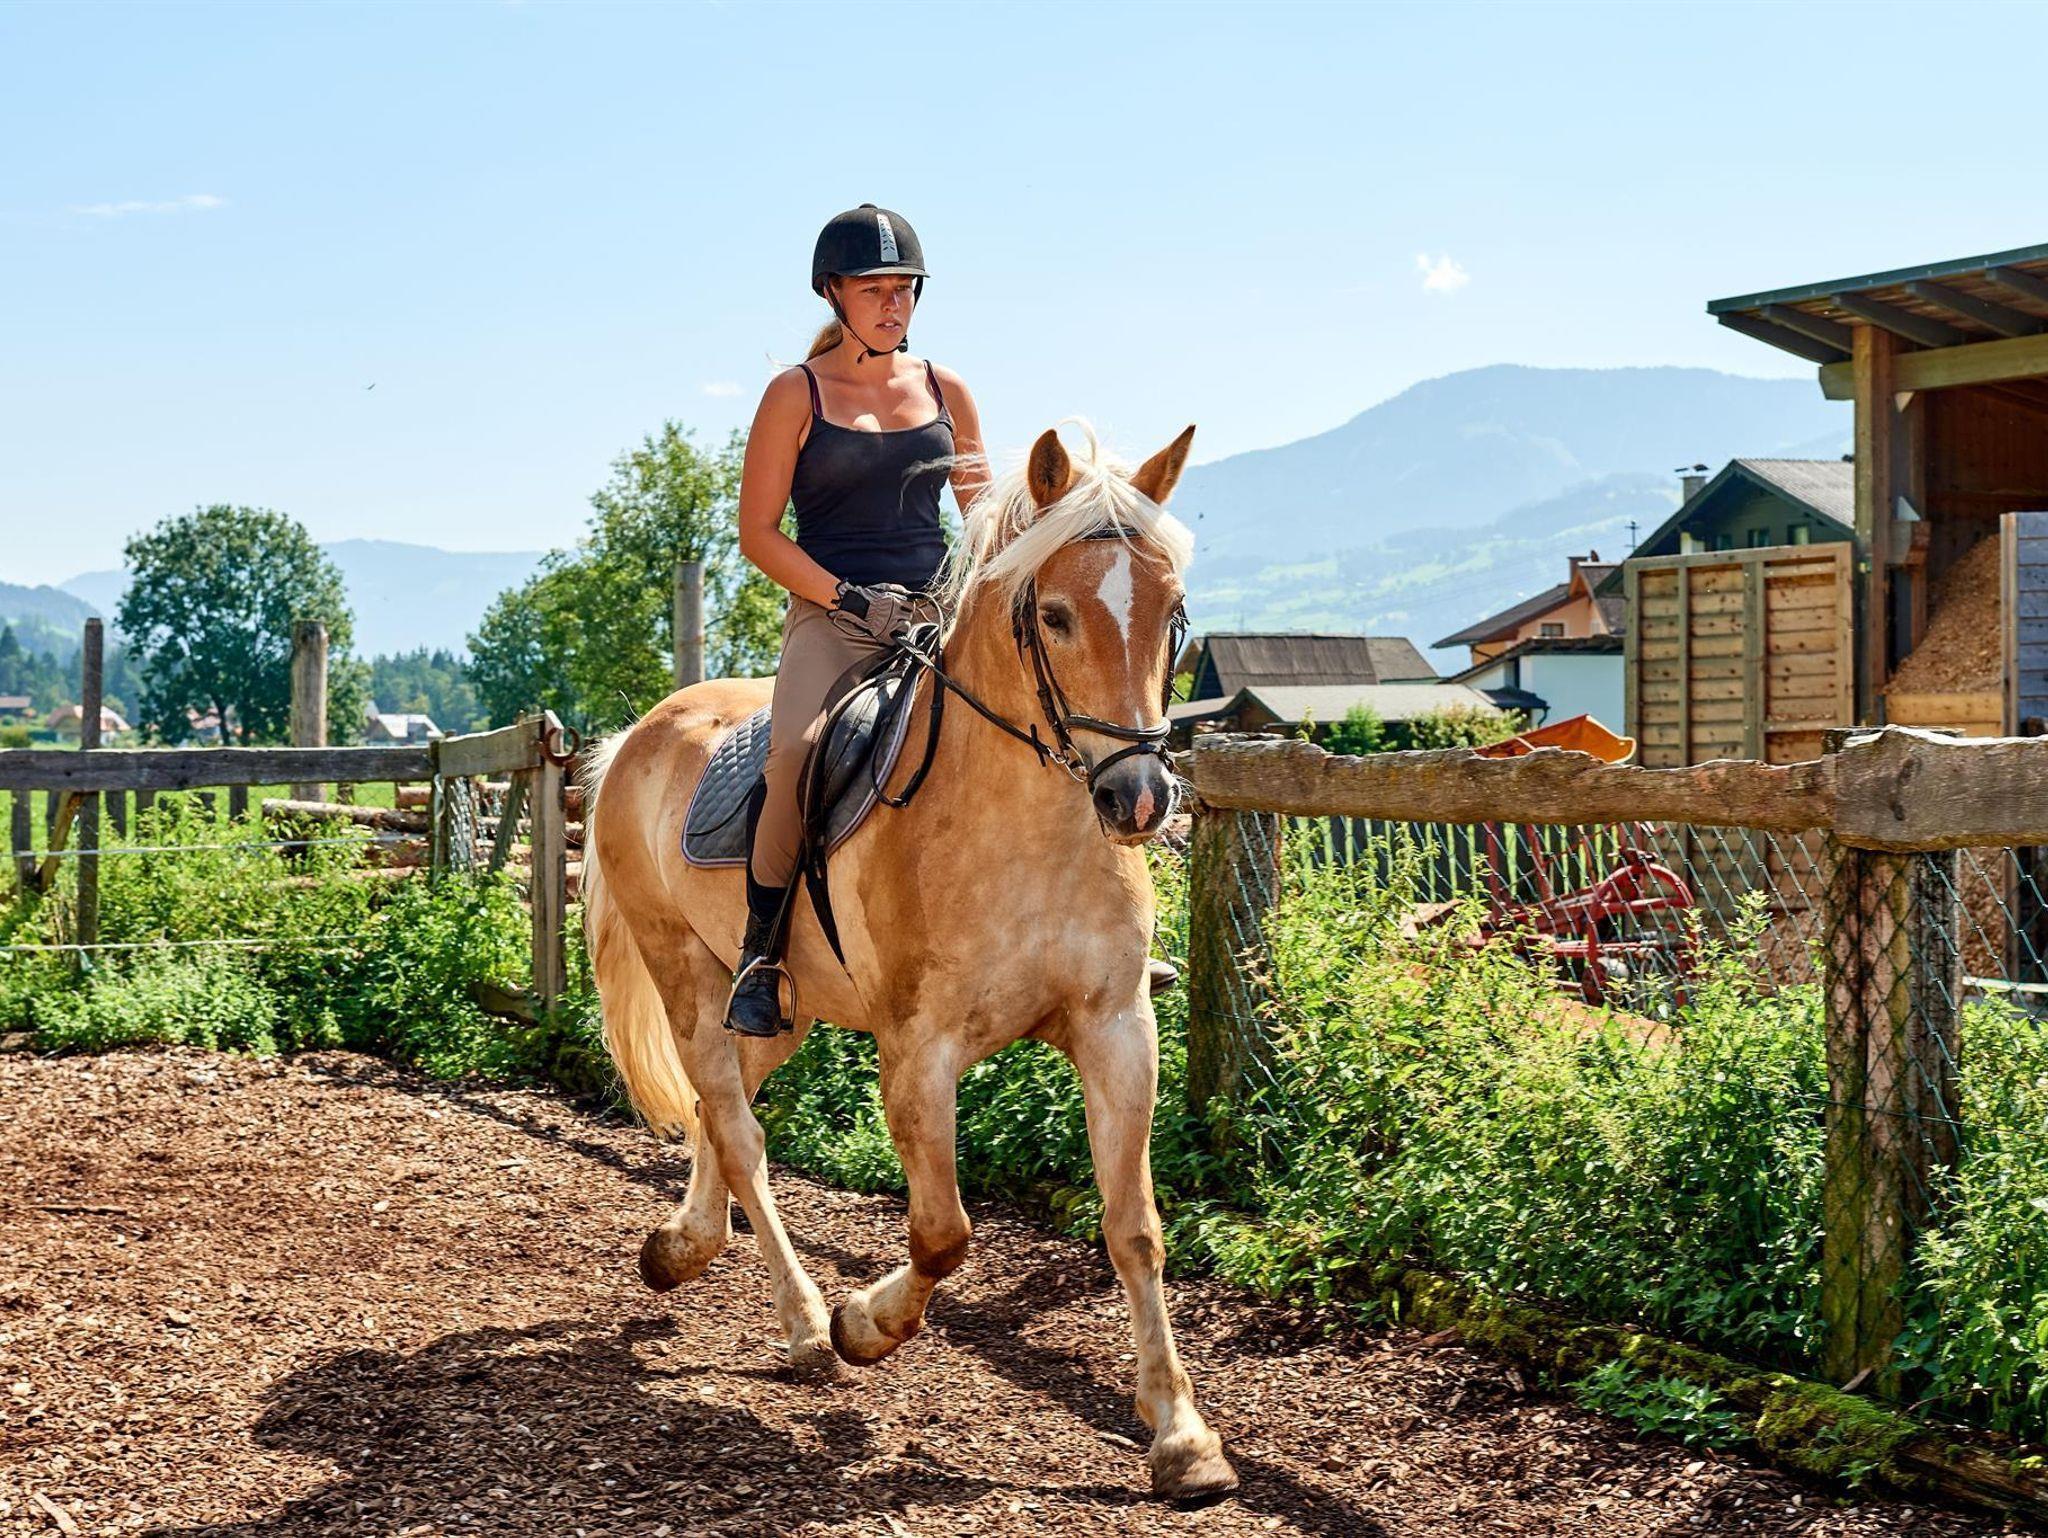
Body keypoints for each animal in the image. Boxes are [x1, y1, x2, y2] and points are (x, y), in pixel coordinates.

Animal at [578, 420, 1238, 1500]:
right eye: (1054, 614)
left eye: (1171, 613)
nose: (1137, 797)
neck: (1022, 827)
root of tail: (638, 732)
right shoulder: (917, 1051)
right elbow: (944, 1232)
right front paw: (865, 1324)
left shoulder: (1117, 1030)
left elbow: (1133, 1225)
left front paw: (1183, 1437)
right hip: (684, 970)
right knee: (736, 1125)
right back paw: (806, 1322)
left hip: (781, 1002)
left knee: (727, 1101)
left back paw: (682, 1246)